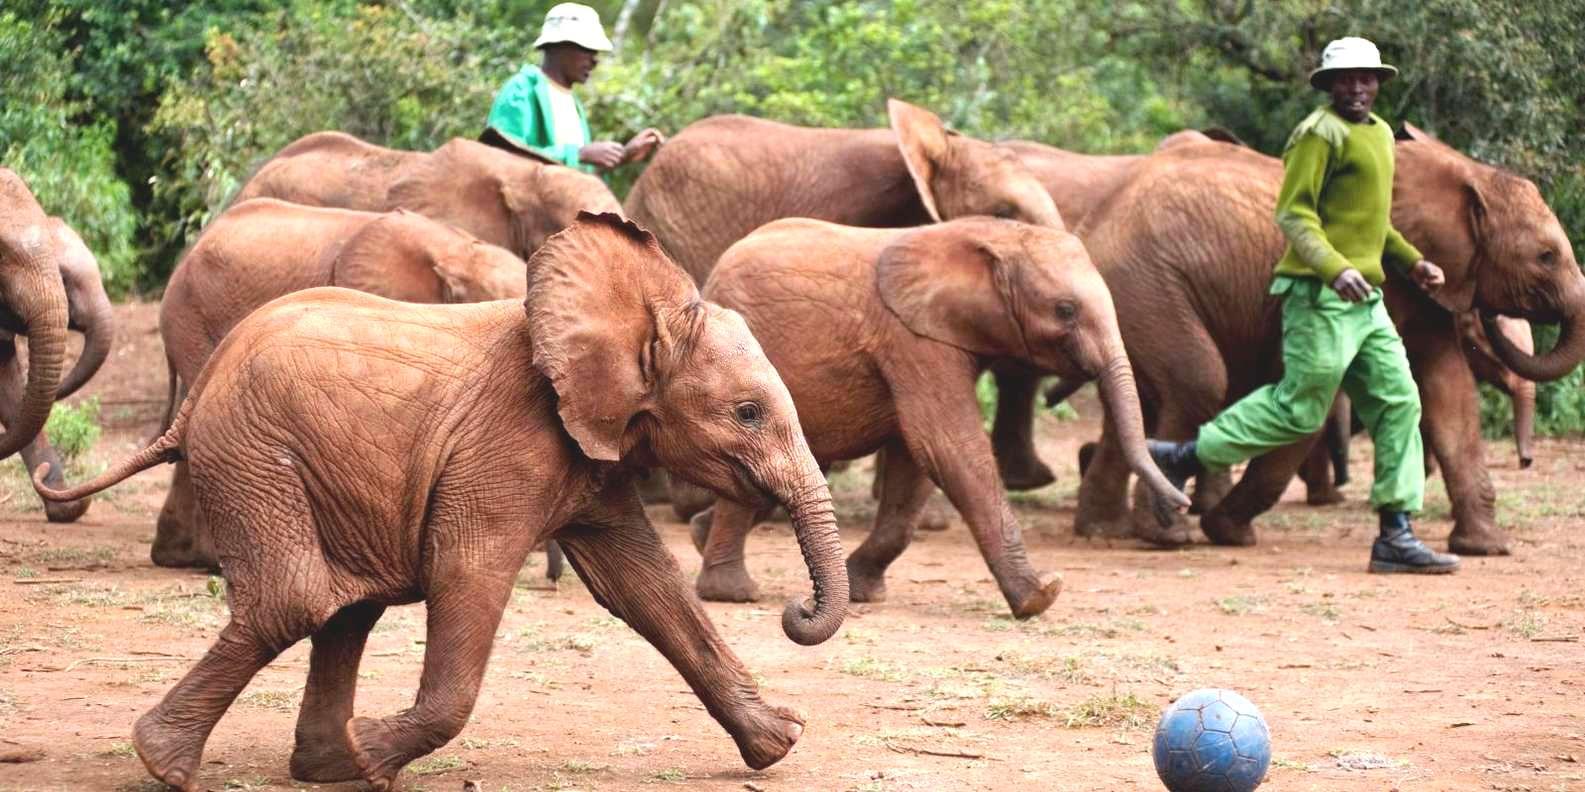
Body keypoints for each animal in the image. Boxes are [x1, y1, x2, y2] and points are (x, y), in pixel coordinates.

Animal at [688, 216, 1187, 618]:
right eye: (1064, 310)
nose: (1179, 506)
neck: (993, 235)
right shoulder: (914, 340)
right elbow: (948, 447)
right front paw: (1040, 596)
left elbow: (914, 464)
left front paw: (864, 592)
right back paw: (732, 592)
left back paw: (698, 536)